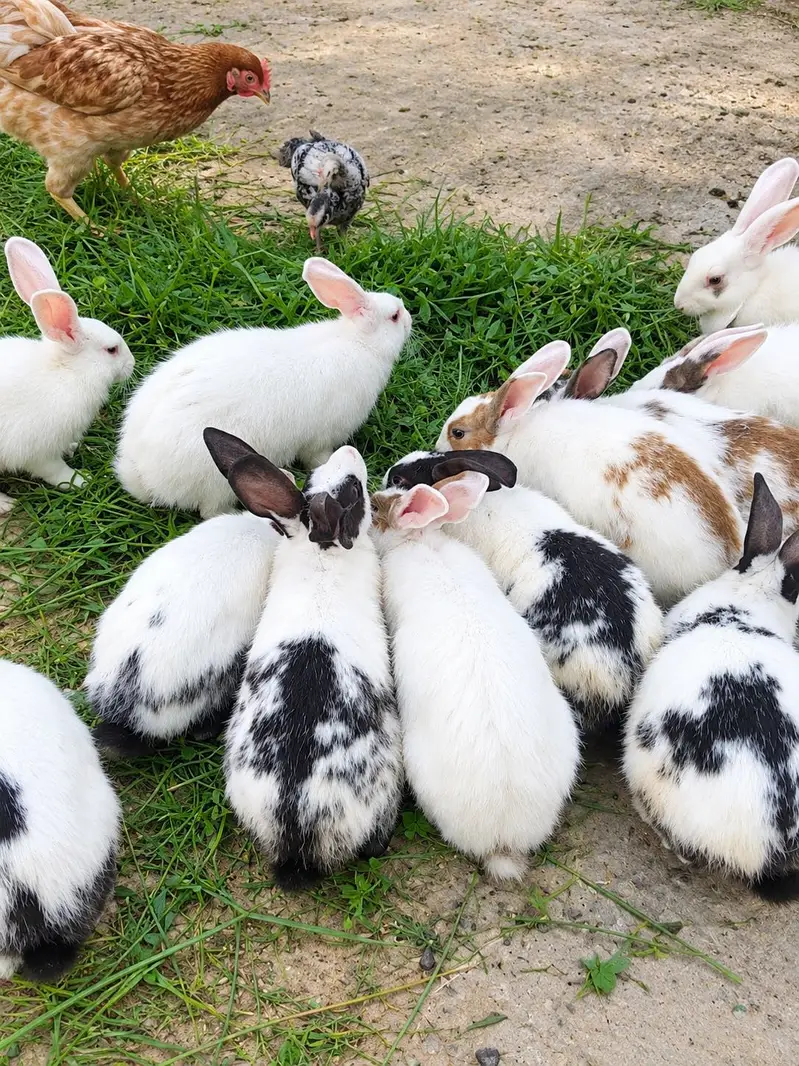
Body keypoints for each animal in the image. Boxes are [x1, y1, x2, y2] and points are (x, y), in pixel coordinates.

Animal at [0, 237, 134, 515]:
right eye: (112, 350)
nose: (132, 364)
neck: (66, 372)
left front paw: (72, 448)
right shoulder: (39, 453)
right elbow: (56, 472)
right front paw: (81, 481)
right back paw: (5, 504)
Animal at [115, 257, 412, 518]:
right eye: (395, 316)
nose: (409, 319)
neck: (359, 342)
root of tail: (144, 476)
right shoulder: (321, 439)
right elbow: (319, 458)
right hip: (218, 480)